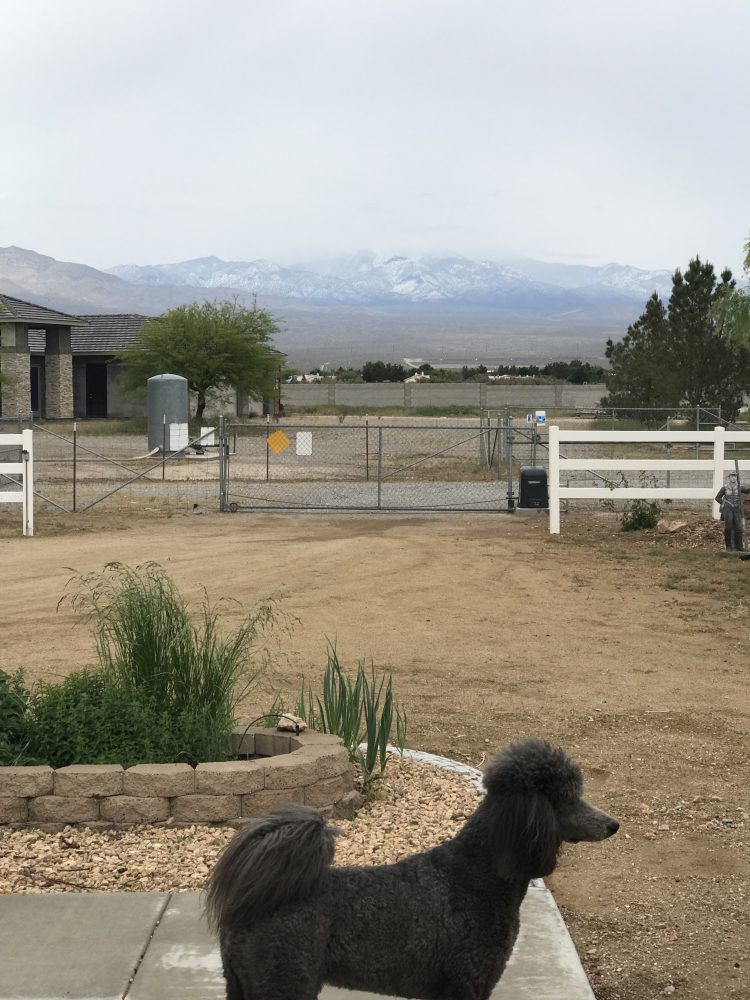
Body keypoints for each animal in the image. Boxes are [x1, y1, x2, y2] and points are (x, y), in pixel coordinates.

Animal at [205, 739, 618, 1000]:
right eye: (567, 799)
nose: (612, 825)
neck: (476, 876)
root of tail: (251, 904)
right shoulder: (465, 984)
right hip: (285, 980)